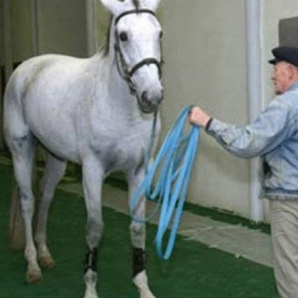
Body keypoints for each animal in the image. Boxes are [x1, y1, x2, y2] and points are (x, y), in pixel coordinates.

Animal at [4, 0, 163, 296]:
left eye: (159, 33)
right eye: (123, 36)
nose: (152, 97)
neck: (119, 108)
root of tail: (24, 68)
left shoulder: (138, 171)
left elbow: (138, 229)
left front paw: (143, 287)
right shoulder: (92, 169)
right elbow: (94, 229)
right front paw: (90, 289)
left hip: (56, 159)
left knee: (46, 197)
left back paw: (45, 254)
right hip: (21, 151)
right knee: (28, 202)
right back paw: (32, 265)